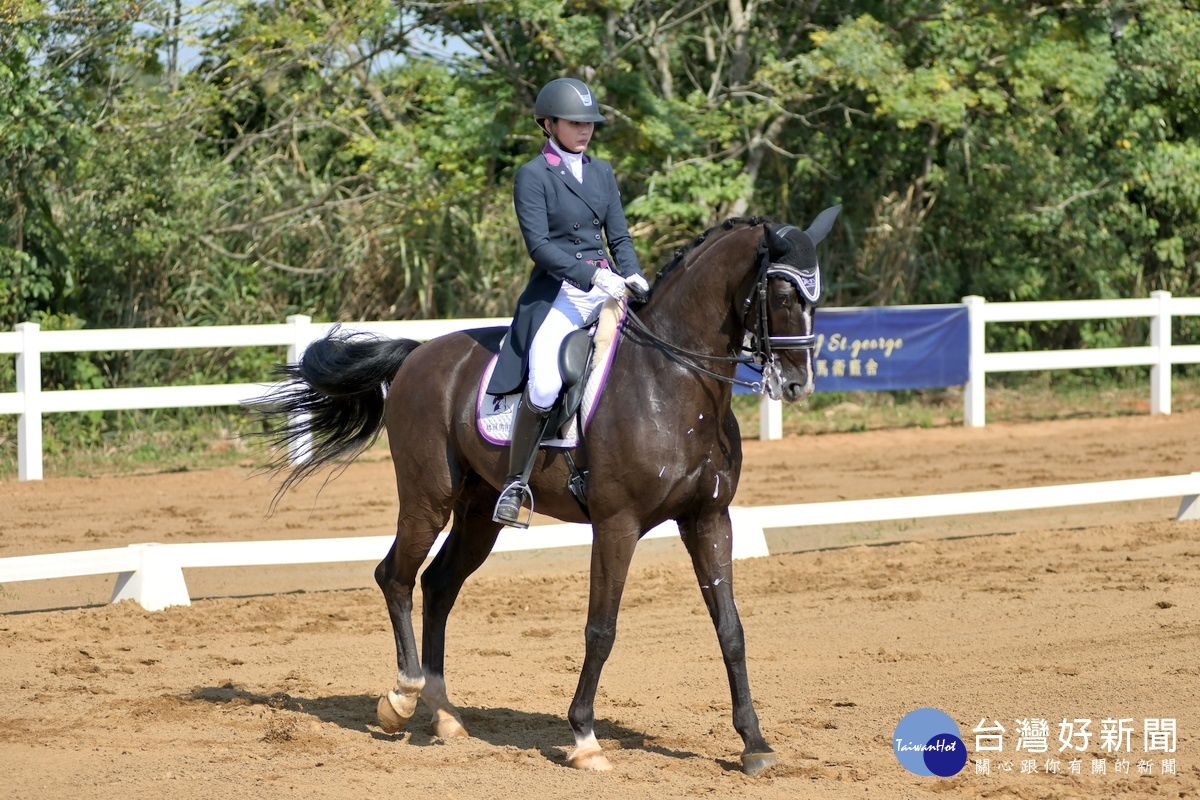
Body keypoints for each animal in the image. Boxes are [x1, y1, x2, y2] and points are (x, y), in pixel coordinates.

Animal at [250, 206, 835, 777]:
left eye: (817, 297)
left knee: (439, 585)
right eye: (784, 295)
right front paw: (584, 739)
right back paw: (402, 698)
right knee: (395, 576)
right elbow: (601, 629)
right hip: (426, 499)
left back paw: (444, 715)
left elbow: (730, 627)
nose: (797, 385)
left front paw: (754, 744)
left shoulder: (709, 519)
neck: (673, 381)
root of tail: (419, 354)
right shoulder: (617, 524)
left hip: (479, 513)